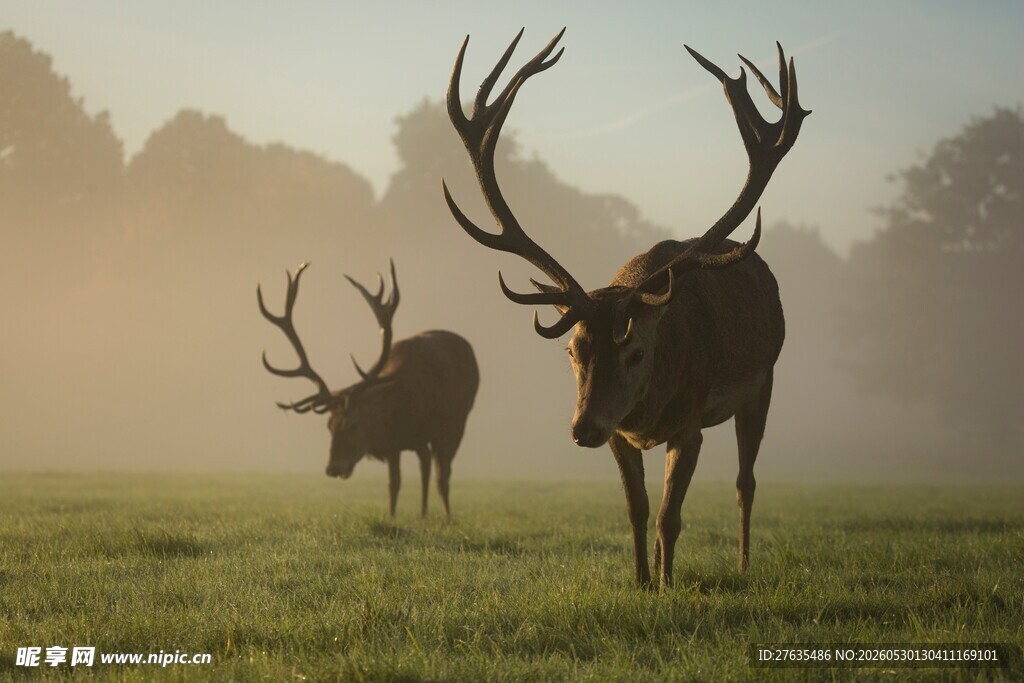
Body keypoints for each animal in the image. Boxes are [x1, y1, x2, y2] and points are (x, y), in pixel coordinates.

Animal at [257, 260, 479, 518]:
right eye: (329, 425)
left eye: (354, 425)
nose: (332, 468)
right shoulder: (394, 442)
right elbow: (393, 483)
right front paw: (392, 516)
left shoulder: (437, 431)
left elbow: (438, 477)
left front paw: (447, 518)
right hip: (423, 441)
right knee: (424, 465)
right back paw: (423, 514)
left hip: (459, 421)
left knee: (441, 473)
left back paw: (442, 514)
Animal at [443, 29, 808, 589]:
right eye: (573, 351)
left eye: (634, 350)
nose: (582, 429)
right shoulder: (620, 434)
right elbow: (638, 509)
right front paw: (640, 581)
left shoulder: (689, 427)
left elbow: (669, 516)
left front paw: (667, 586)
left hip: (763, 382)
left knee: (746, 481)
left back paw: (744, 564)